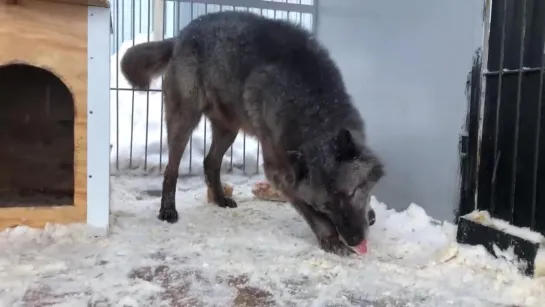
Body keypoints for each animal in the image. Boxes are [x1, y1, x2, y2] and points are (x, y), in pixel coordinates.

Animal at [120, 10, 382, 256]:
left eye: (352, 193)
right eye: (325, 206)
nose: (355, 240)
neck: (312, 107)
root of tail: (180, 35)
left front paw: (367, 214)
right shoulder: (279, 172)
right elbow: (309, 212)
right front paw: (330, 239)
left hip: (229, 129)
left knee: (209, 162)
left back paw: (219, 199)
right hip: (185, 121)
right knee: (171, 168)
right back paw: (167, 209)